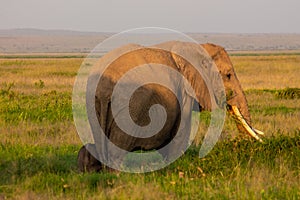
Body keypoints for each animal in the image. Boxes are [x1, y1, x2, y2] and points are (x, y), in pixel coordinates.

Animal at [78, 40, 264, 172]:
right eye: (228, 75)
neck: (196, 47)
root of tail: (103, 87)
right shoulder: (184, 92)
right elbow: (180, 133)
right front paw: (173, 168)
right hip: (129, 105)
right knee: (117, 150)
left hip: (92, 101)